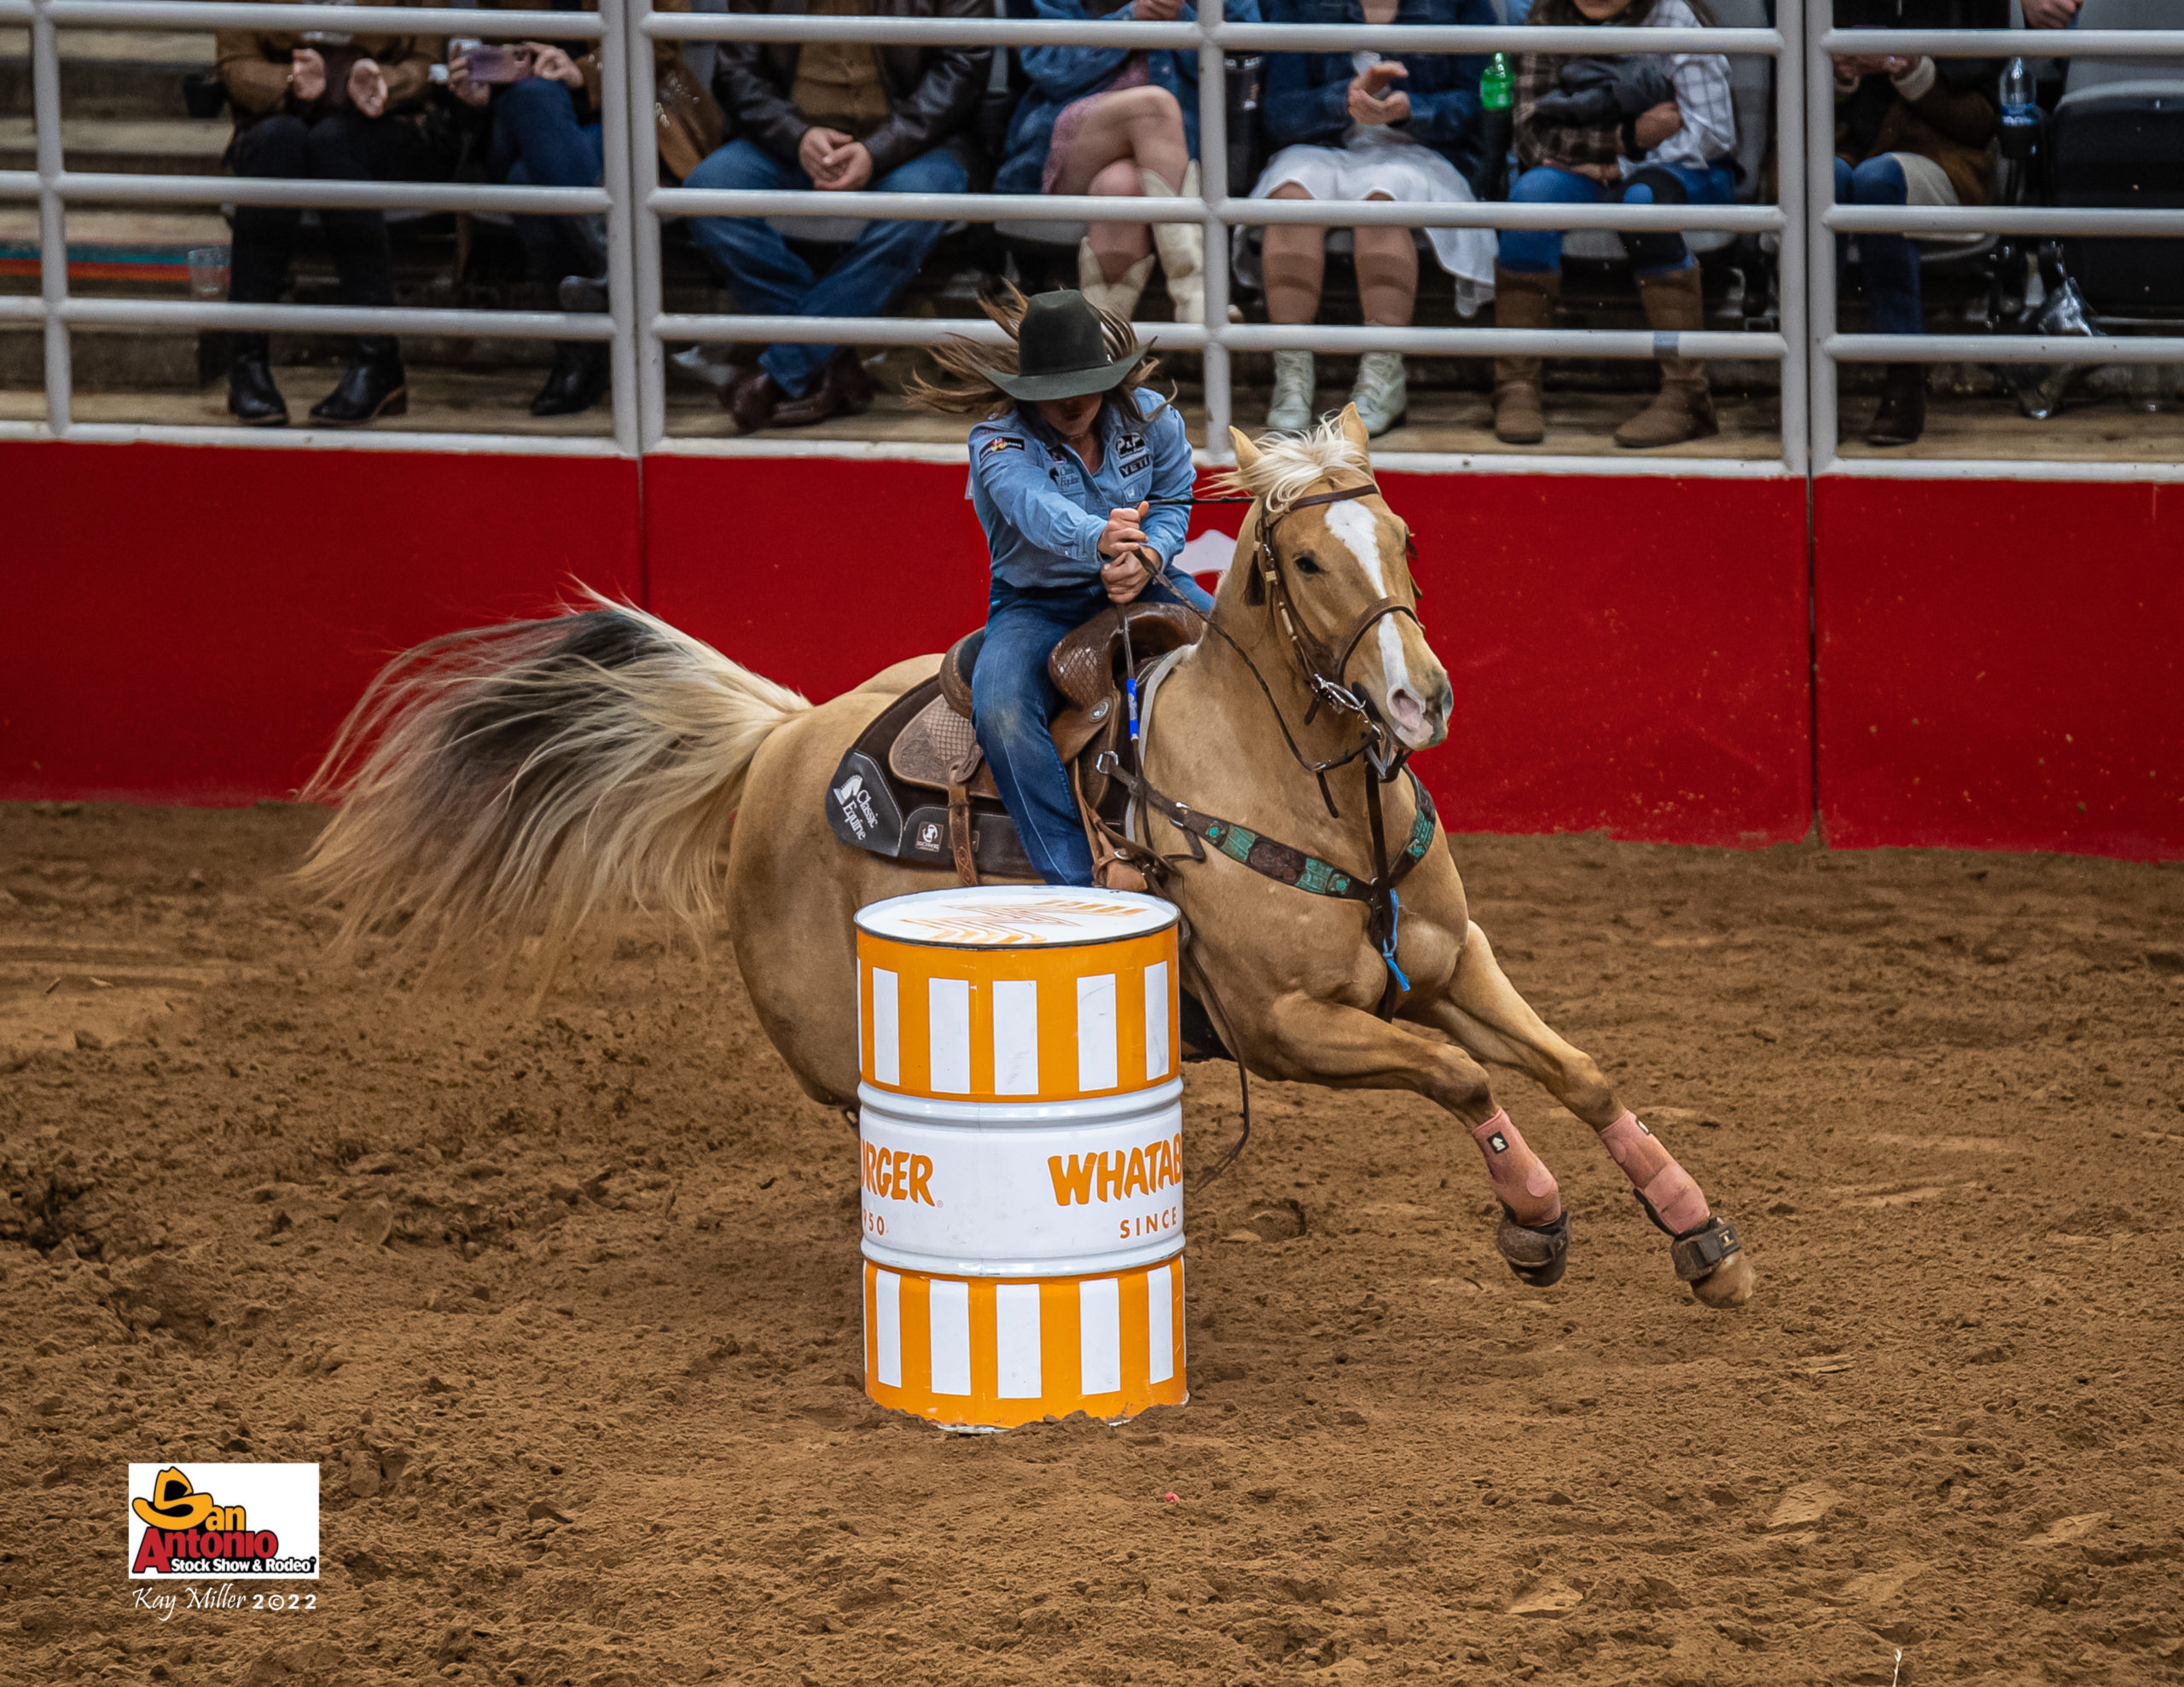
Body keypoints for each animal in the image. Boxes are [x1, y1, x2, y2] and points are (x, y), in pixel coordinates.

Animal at [299, 403, 1756, 1301]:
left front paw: (1700, 1233)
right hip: (844, 1046)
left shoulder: (1452, 961)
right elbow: (1464, 1079)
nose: (1420, 701)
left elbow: (1579, 1067)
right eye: (1300, 560)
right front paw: (1534, 1219)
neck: (1309, 799)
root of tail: (779, 741)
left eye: (1401, 534)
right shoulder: (1290, 1028)